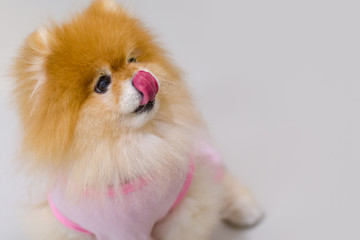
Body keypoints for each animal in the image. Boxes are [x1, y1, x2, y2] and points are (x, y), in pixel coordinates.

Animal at [12, 0, 262, 240]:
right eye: (103, 83)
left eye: (132, 59)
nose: (143, 76)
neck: (127, 153)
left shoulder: (184, 206)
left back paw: (245, 208)